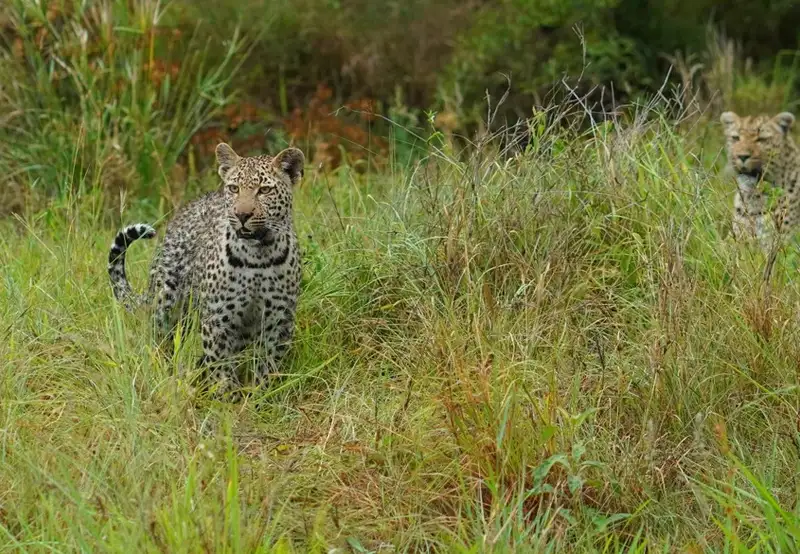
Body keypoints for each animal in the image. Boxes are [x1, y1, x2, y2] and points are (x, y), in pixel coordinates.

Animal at [107, 143, 305, 396]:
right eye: (234, 188)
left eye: (264, 190)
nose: (242, 215)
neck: (258, 256)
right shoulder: (218, 318)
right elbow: (221, 366)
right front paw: (226, 398)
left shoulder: (278, 319)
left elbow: (268, 366)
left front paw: (261, 396)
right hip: (166, 305)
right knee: (161, 343)